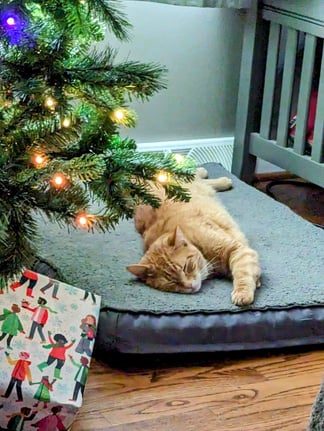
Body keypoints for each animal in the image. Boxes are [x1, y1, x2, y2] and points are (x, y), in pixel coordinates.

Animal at [126, 167, 260, 306]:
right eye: (172, 282)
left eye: (186, 267)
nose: (189, 286)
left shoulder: (237, 249)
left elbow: (243, 273)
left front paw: (243, 293)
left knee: (194, 175)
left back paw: (215, 176)